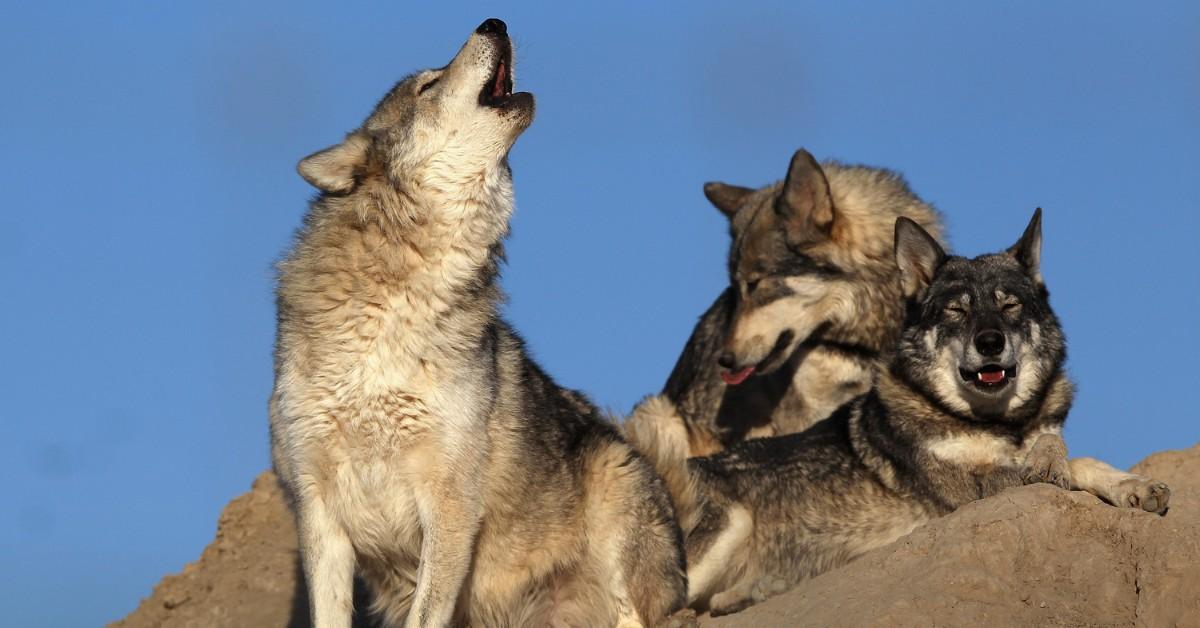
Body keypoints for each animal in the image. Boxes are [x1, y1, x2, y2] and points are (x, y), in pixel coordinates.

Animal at [270, 18, 686, 624]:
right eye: (427, 85)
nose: (495, 22)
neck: (394, 306)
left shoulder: (450, 502)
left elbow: (425, 613)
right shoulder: (317, 509)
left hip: (614, 482)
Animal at [628, 208, 1171, 614]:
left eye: (1009, 305)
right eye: (956, 310)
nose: (989, 342)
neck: (997, 424)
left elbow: (1077, 455)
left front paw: (1135, 485)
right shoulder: (970, 493)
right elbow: (1068, 463)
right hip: (726, 522)